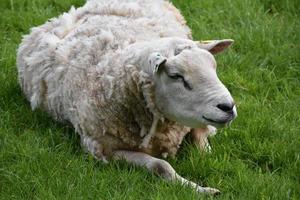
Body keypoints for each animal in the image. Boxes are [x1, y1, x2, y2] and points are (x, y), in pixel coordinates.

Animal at [17, 0, 237, 195]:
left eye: (214, 67)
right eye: (176, 76)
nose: (228, 107)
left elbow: (202, 141)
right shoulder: (104, 149)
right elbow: (160, 166)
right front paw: (199, 188)